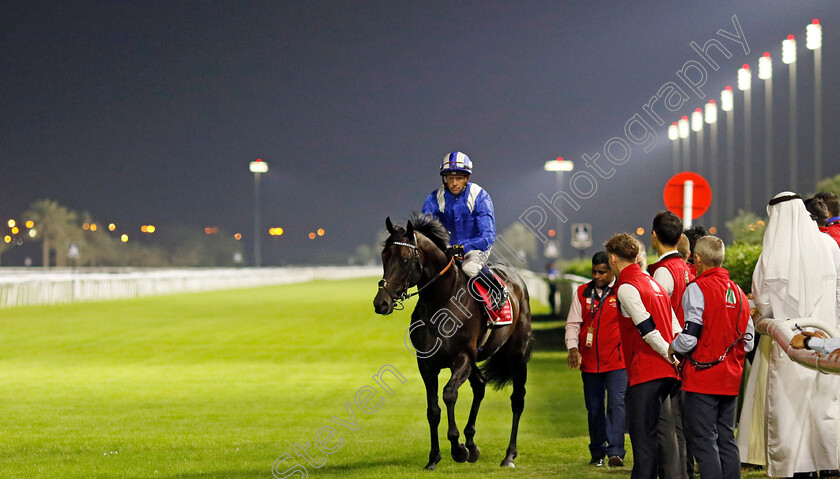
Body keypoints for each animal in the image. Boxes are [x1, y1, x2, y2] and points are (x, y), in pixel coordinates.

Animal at [372, 216, 532, 470]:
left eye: (405, 259)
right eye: (384, 257)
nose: (381, 303)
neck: (441, 302)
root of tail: (516, 279)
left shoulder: (462, 358)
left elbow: (449, 394)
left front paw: (458, 448)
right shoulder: (427, 364)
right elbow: (433, 410)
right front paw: (434, 458)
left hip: (517, 354)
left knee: (517, 399)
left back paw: (508, 455)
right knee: (480, 384)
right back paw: (473, 443)